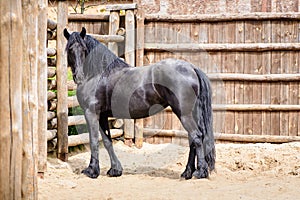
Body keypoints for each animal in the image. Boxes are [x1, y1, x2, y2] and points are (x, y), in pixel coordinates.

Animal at [63, 27, 214, 179]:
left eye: (83, 49)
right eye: (70, 49)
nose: (79, 77)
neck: (98, 75)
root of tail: (192, 68)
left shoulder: (91, 113)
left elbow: (93, 141)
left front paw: (92, 171)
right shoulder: (103, 115)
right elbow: (107, 141)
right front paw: (115, 170)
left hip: (184, 114)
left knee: (196, 136)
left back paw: (200, 172)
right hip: (191, 114)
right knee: (192, 139)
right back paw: (187, 172)